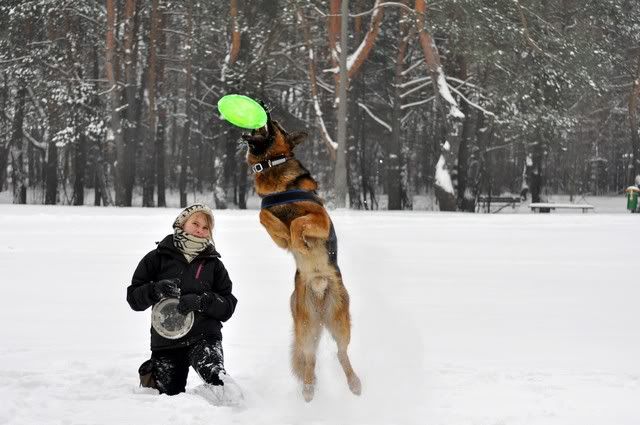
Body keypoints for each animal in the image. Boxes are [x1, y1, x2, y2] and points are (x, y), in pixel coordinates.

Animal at [241, 109, 362, 402]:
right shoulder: (271, 221)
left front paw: (302, 244)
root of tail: (318, 288)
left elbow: (298, 223)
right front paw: (290, 238)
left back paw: (354, 383)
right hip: (306, 328)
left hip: (340, 323)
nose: (264, 108)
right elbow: (265, 217)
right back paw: (308, 389)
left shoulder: (320, 218)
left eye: (276, 124)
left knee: (341, 353)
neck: (272, 167)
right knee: (309, 358)